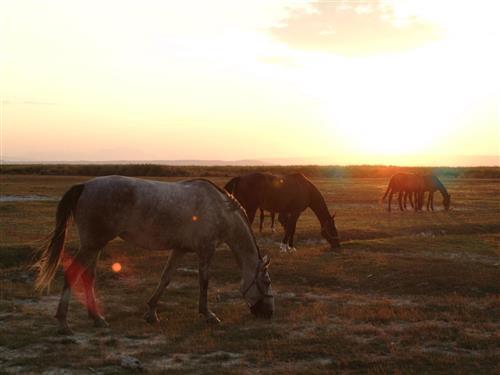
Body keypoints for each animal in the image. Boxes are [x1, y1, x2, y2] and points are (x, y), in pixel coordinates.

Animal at [33, 176, 276, 334]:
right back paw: (63, 324)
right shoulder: (206, 250)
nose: (269, 313)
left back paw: (97, 319)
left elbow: (165, 278)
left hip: (95, 246)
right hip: (92, 246)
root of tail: (84, 186)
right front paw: (208, 315)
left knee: (88, 277)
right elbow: (204, 282)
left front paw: (151, 313)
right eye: (266, 281)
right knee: (72, 273)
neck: (220, 209)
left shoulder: (179, 249)